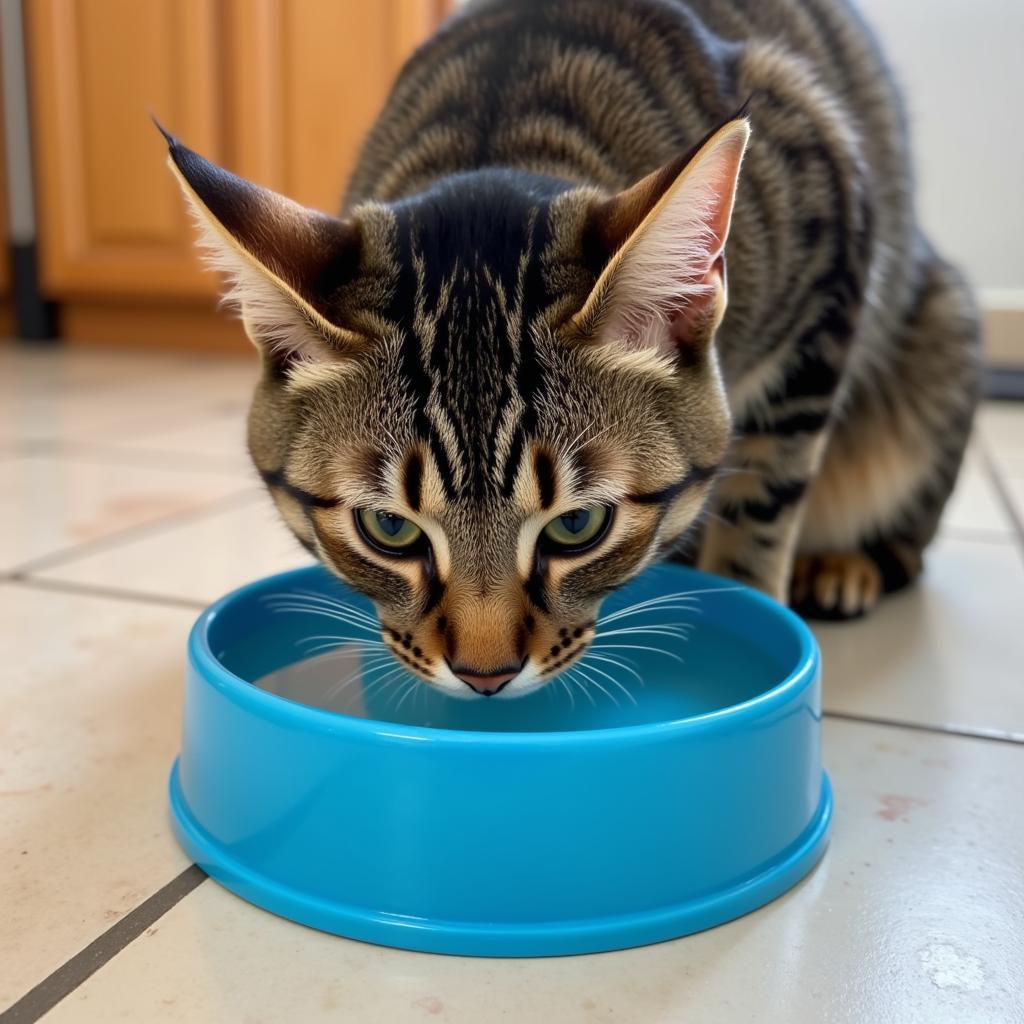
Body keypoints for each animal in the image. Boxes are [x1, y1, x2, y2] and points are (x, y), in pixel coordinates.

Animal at [159, 0, 974, 700]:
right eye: (388, 530)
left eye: (577, 526)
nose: (484, 677)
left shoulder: (830, 257)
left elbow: (761, 511)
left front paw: (748, 597)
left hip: (940, 333)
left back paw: (842, 565)